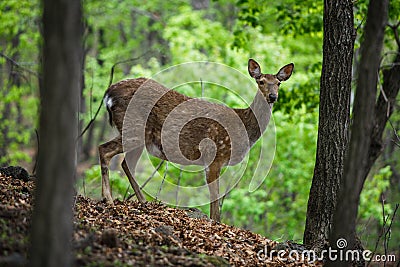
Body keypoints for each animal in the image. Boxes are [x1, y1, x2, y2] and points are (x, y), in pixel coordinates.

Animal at [99, 59, 294, 223]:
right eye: (261, 81)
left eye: (278, 83)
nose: (273, 96)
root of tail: (108, 94)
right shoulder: (215, 154)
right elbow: (215, 198)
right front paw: (216, 222)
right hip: (133, 128)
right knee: (104, 149)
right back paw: (108, 199)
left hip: (139, 137)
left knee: (125, 163)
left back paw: (143, 201)